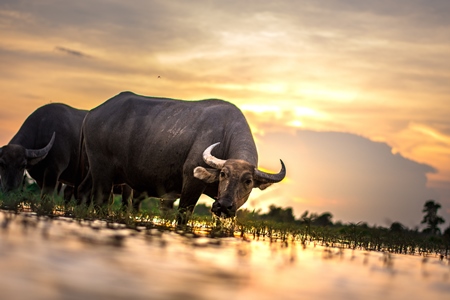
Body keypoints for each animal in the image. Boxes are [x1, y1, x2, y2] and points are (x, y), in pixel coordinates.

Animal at [79, 91, 286, 223]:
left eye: (248, 181)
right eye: (223, 174)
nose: (223, 205)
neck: (225, 134)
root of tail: (92, 113)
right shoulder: (190, 183)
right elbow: (183, 216)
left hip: (94, 171)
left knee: (83, 190)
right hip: (102, 173)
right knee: (100, 201)